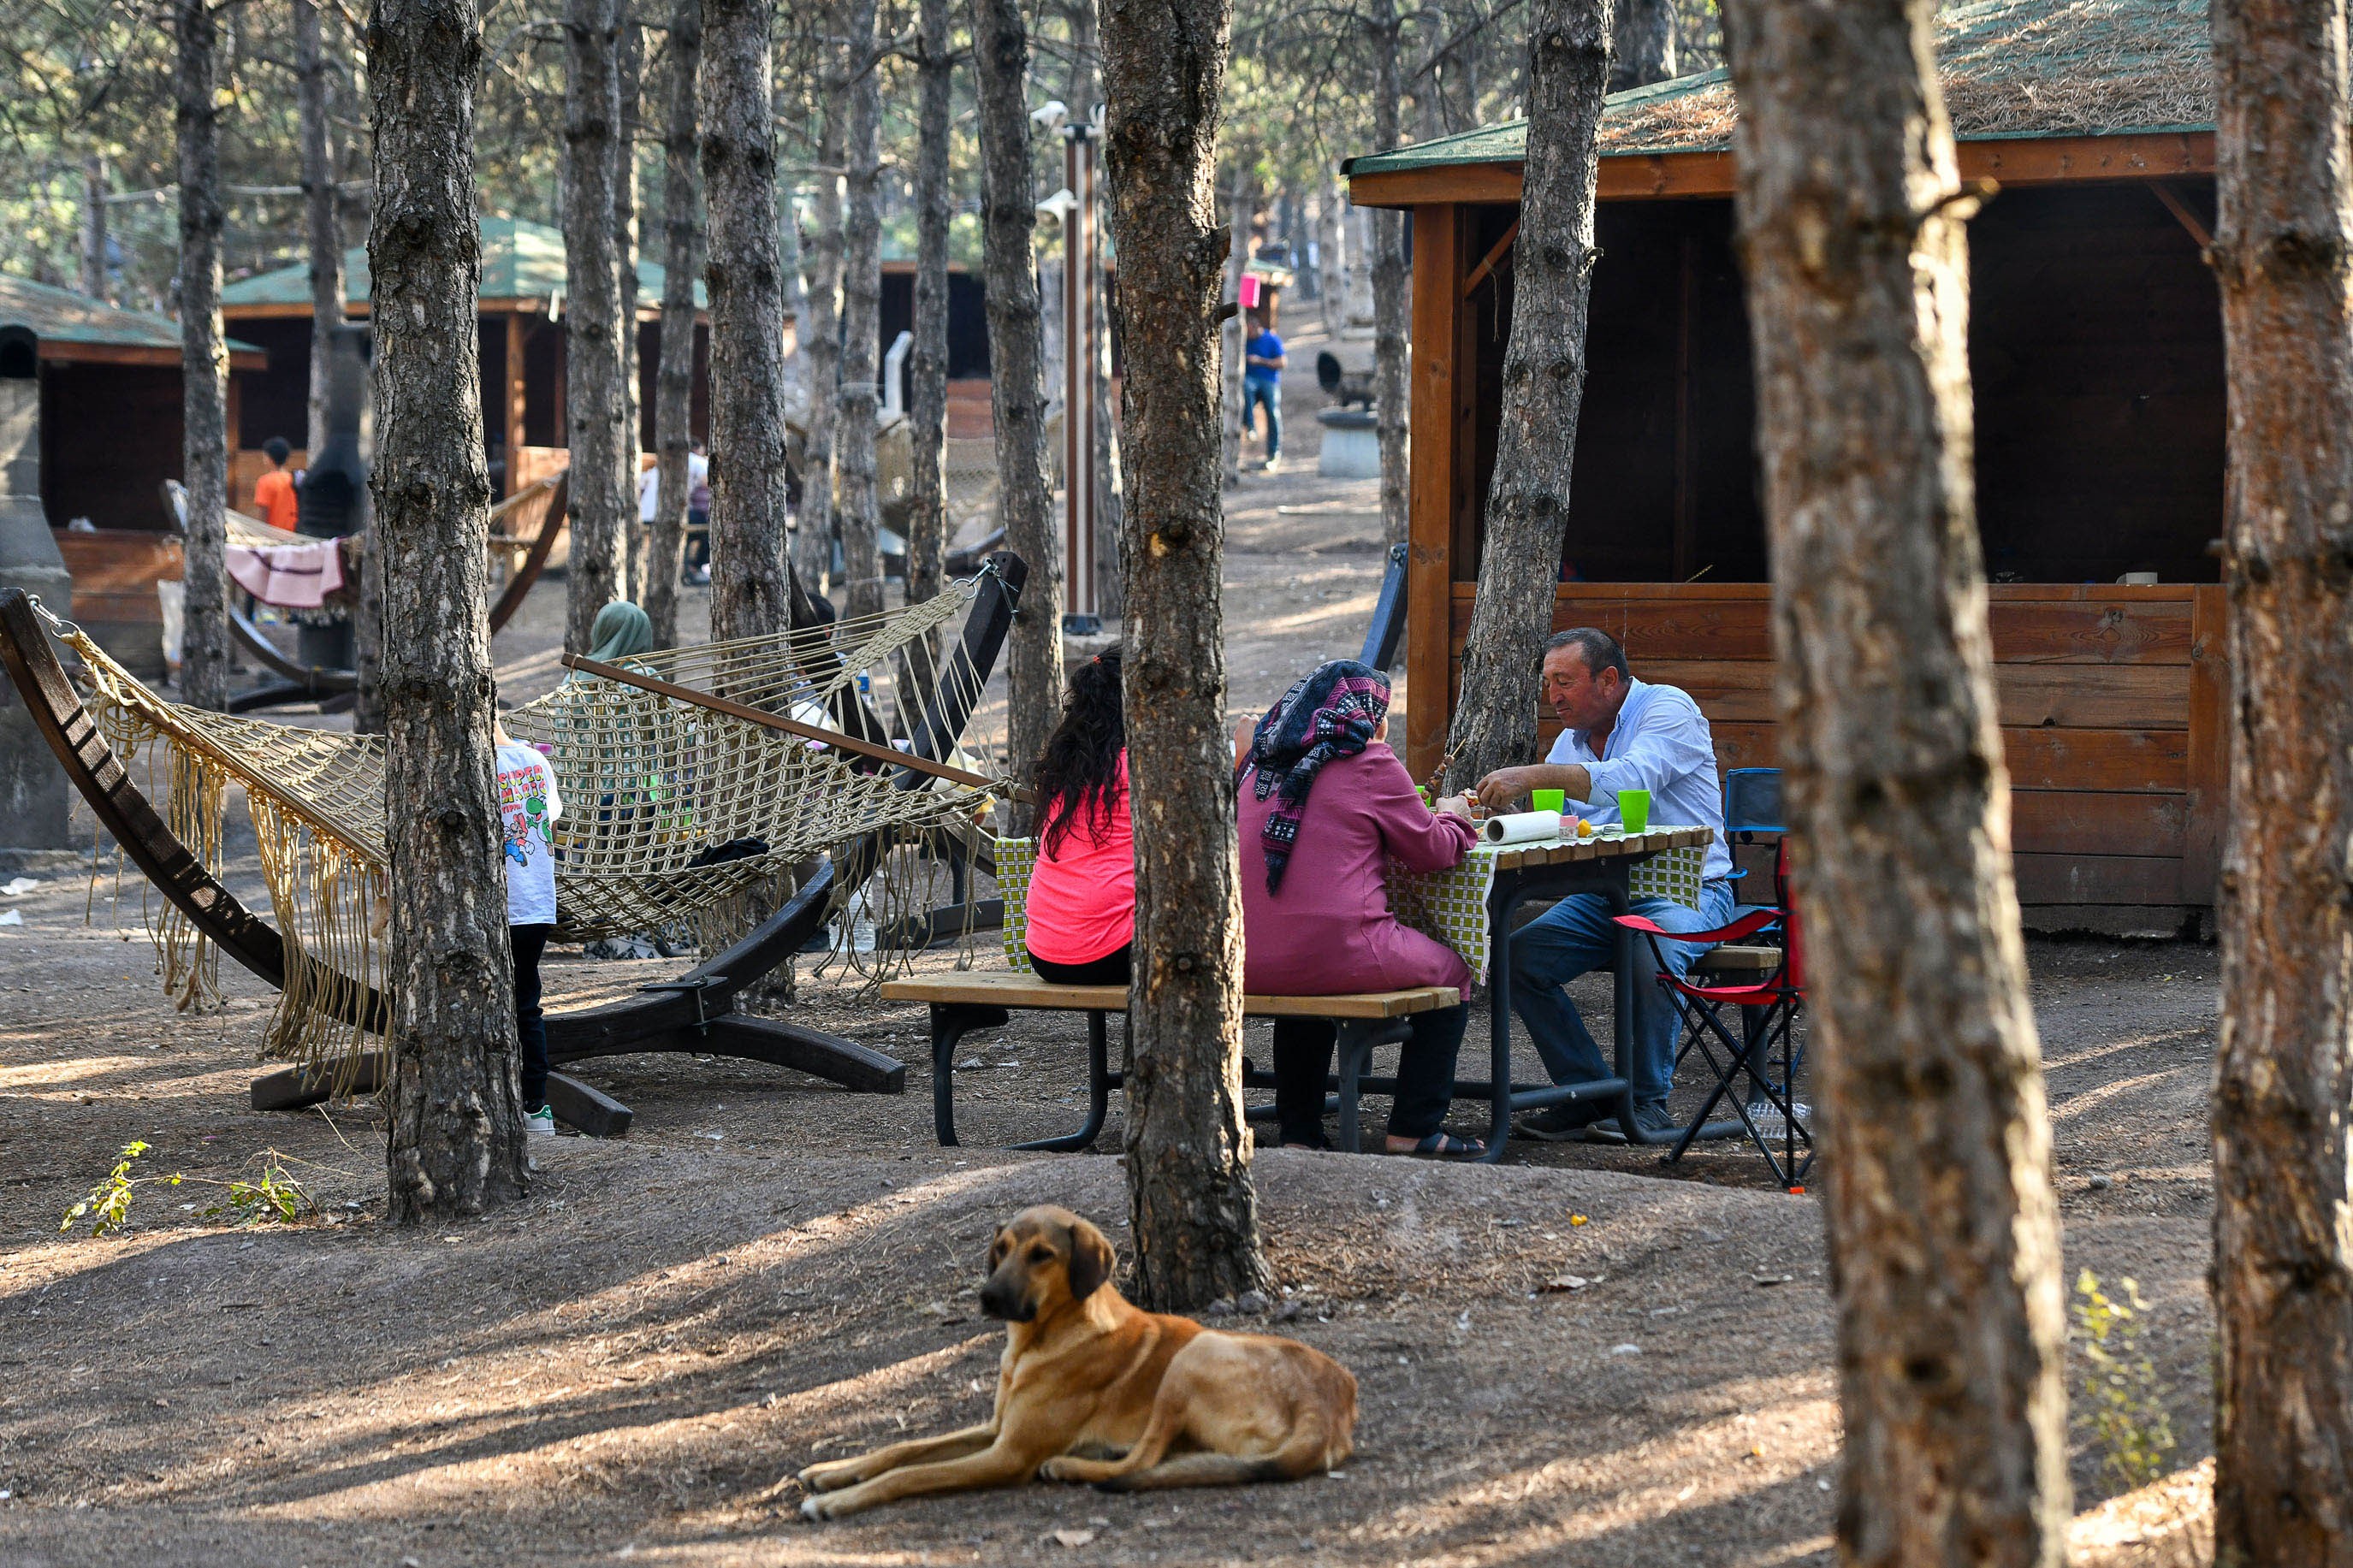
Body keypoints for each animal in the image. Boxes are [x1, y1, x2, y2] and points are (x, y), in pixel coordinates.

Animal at [791, 1204, 1355, 1523]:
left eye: (1042, 1255)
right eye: (1001, 1248)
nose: (987, 1298)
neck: (1037, 1342)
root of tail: (1327, 1409)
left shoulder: (1008, 1454)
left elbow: (908, 1475)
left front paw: (837, 1502)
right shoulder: (995, 1429)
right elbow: (901, 1449)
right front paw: (832, 1471)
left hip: (1195, 1354)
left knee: (1140, 1464)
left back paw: (1070, 1466)